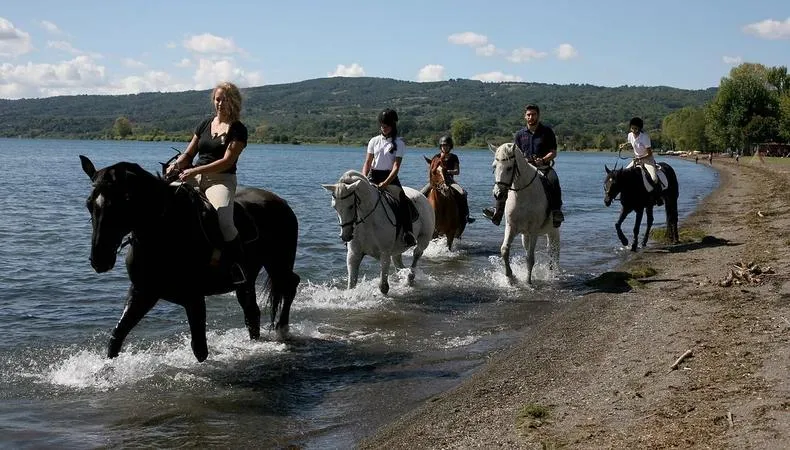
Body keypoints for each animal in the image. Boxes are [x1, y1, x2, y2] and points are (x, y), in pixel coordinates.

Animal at [79, 155, 300, 362]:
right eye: (89, 203)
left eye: (124, 201)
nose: (99, 259)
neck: (165, 232)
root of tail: (281, 202)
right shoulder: (142, 292)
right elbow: (117, 335)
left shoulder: (193, 297)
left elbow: (199, 349)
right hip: (248, 277)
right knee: (252, 311)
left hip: (278, 263)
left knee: (289, 285)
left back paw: (282, 329)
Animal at [489, 143, 560, 284]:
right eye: (494, 166)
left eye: (509, 168)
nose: (498, 194)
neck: (523, 194)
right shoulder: (511, 226)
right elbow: (504, 250)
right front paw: (511, 277)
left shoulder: (534, 231)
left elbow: (530, 258)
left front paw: (528, 281)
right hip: (525, 236)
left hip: (553, 232)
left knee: (553, 252)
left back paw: (554, 274)